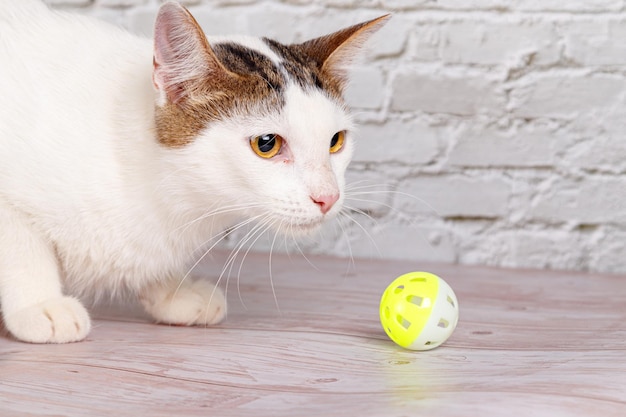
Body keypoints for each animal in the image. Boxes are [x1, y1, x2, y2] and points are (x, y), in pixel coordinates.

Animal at [0, 0, 388, 342]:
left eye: (336, 141)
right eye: (267, 143)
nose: (328, 197)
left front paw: (172, 291)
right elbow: (21, 244)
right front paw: (40, 304)